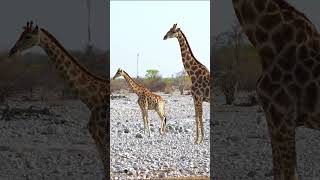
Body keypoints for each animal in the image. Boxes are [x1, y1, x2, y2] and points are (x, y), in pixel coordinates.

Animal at [8, 21, 110, 176]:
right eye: (21, 34)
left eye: (28, 36)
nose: (12, 51)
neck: (92, 101)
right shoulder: (98, 139)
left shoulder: (104, 138)